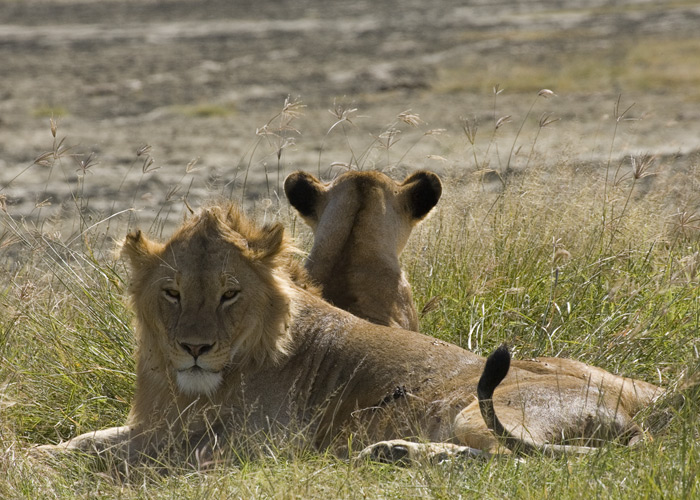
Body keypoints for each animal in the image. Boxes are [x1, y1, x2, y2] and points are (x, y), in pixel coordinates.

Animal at [38, 203, 660, 464]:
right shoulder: (164, 418)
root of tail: (629, 417)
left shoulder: (258, 443)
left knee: (542, 462)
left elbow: (138, 454)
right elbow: (95, 440)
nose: (194, 347)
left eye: (229, 293)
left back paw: (404, 453)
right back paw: (395, 452)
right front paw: (45, 450)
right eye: (172, 293)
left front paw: (44, 463)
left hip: (485, 408)